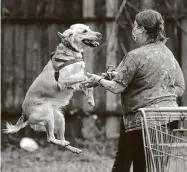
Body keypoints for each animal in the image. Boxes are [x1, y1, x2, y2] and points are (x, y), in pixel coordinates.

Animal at [2, 23, 101, 154]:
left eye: (89, 29)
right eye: (85, 31)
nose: (99, 34)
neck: (70, 54)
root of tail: (24, 115)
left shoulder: (74, 82)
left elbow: (86, 84)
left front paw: (90, 99)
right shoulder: (63, 81)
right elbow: (85, 77)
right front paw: (93, 83)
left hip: (59, 118)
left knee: (58, 138)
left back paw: (72, 147)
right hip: (48, 115)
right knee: (50, 139)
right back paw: (63, 143)